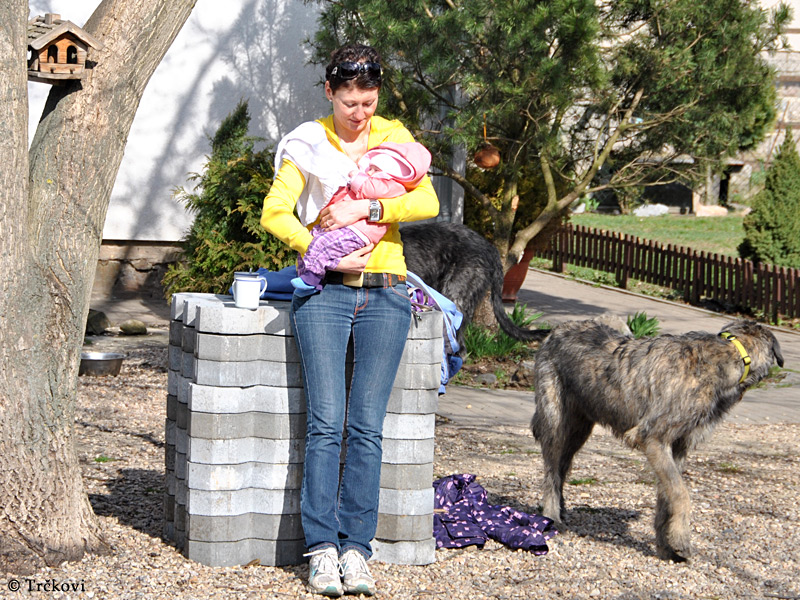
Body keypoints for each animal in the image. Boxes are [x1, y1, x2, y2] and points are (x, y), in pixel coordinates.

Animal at [528, 318, 784, 564]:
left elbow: (666, 498)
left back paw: (561, 508)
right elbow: (680, 493)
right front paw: (681, 540)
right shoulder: (653, 439)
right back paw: (552, 515)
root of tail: (555, 331)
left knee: (563, 466)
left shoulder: (677, 447)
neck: (729, 354)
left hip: (580, 427)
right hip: (555, 419)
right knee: (551, 470)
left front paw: (665, 545)